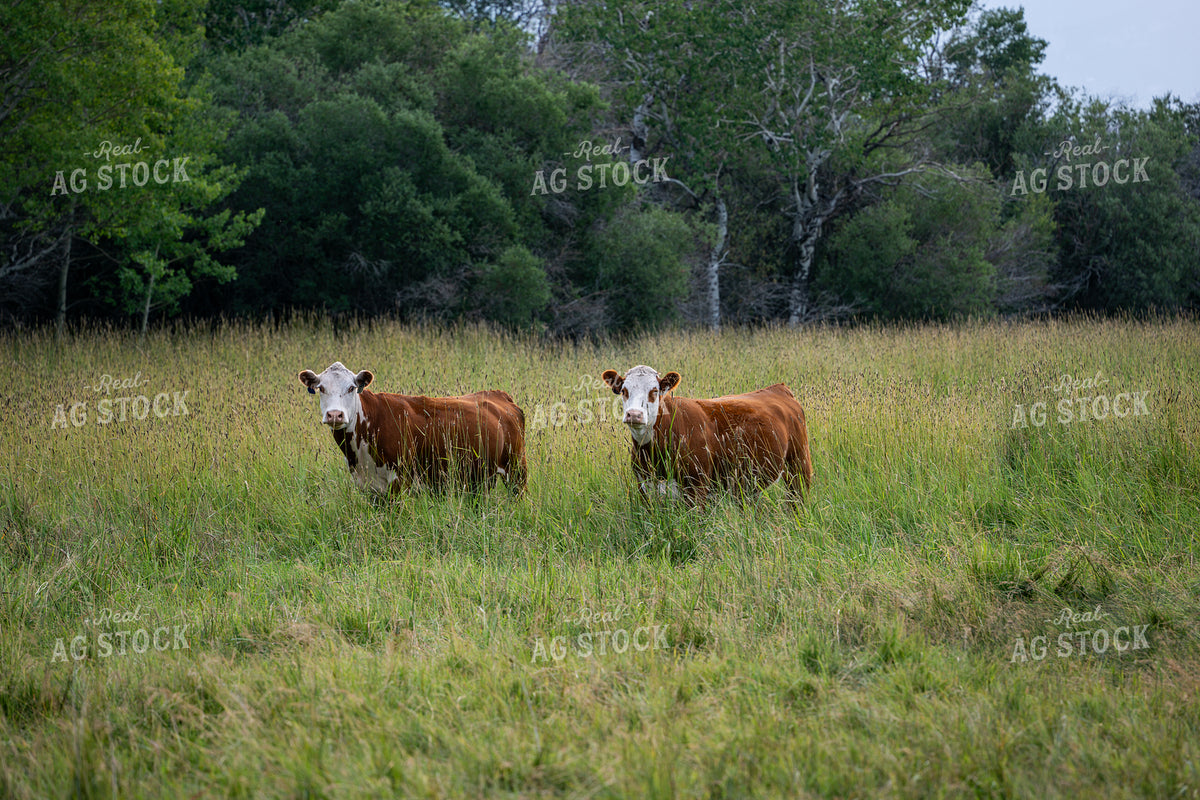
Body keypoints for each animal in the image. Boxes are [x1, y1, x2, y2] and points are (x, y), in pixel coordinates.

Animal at [298, 361, 526, 495]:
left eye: (351, 388)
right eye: (321, 388)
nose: (335, 415)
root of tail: (499, 395)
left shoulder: (399, 479)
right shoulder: (367, 485)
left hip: (516, 469)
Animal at [600, 365, 813, 506]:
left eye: (654, 390)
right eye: (624, 391)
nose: (634, 414)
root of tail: (778, 388)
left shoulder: (697, 486)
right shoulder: (644, 487)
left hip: (799, 464)